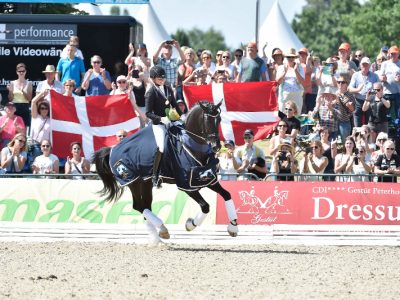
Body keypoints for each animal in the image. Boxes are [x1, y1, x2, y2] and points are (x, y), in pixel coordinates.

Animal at [93, 101, 238, 244]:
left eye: (219, 119)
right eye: (207, 120)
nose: (216, 146)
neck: (191, 147)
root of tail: (112, 149)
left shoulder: (209, 180)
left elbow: (227, 194)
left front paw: (233, 227)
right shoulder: (186, 186)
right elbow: (205, 206)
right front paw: (190, 224)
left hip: (145, 183)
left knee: (146, 205)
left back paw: (157, 237)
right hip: (132, 181)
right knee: (138, 206)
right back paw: (161, 228)